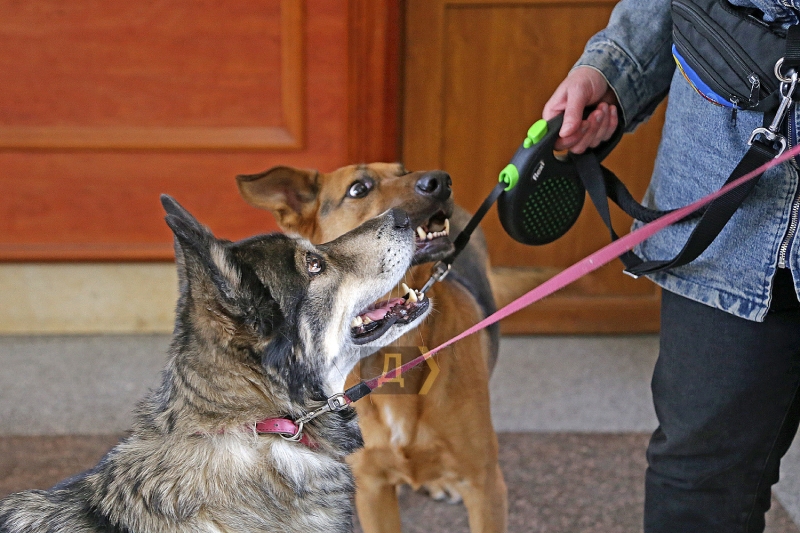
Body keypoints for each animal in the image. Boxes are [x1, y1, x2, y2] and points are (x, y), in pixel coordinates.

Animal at [238, 162, 506, 532]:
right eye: (358, 189)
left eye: (403, 170)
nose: (440, 181)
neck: (391, 355)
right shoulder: (373, 490)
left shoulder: (485, 487)